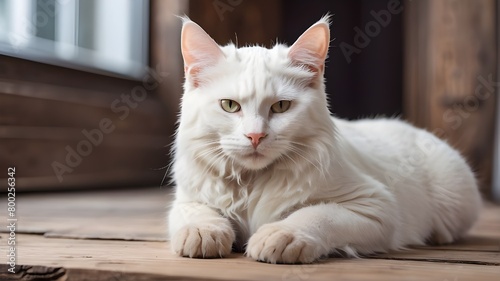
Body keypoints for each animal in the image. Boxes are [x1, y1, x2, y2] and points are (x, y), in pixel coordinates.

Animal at [168, 15, 480, 262]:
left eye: (281, 107)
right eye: (229, 106)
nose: (255, 136)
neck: (253, 183)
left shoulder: (374, 205)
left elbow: (317, 215)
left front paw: (282, 235)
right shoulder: (186, 198)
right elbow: (197, 213)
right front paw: (202, 233)